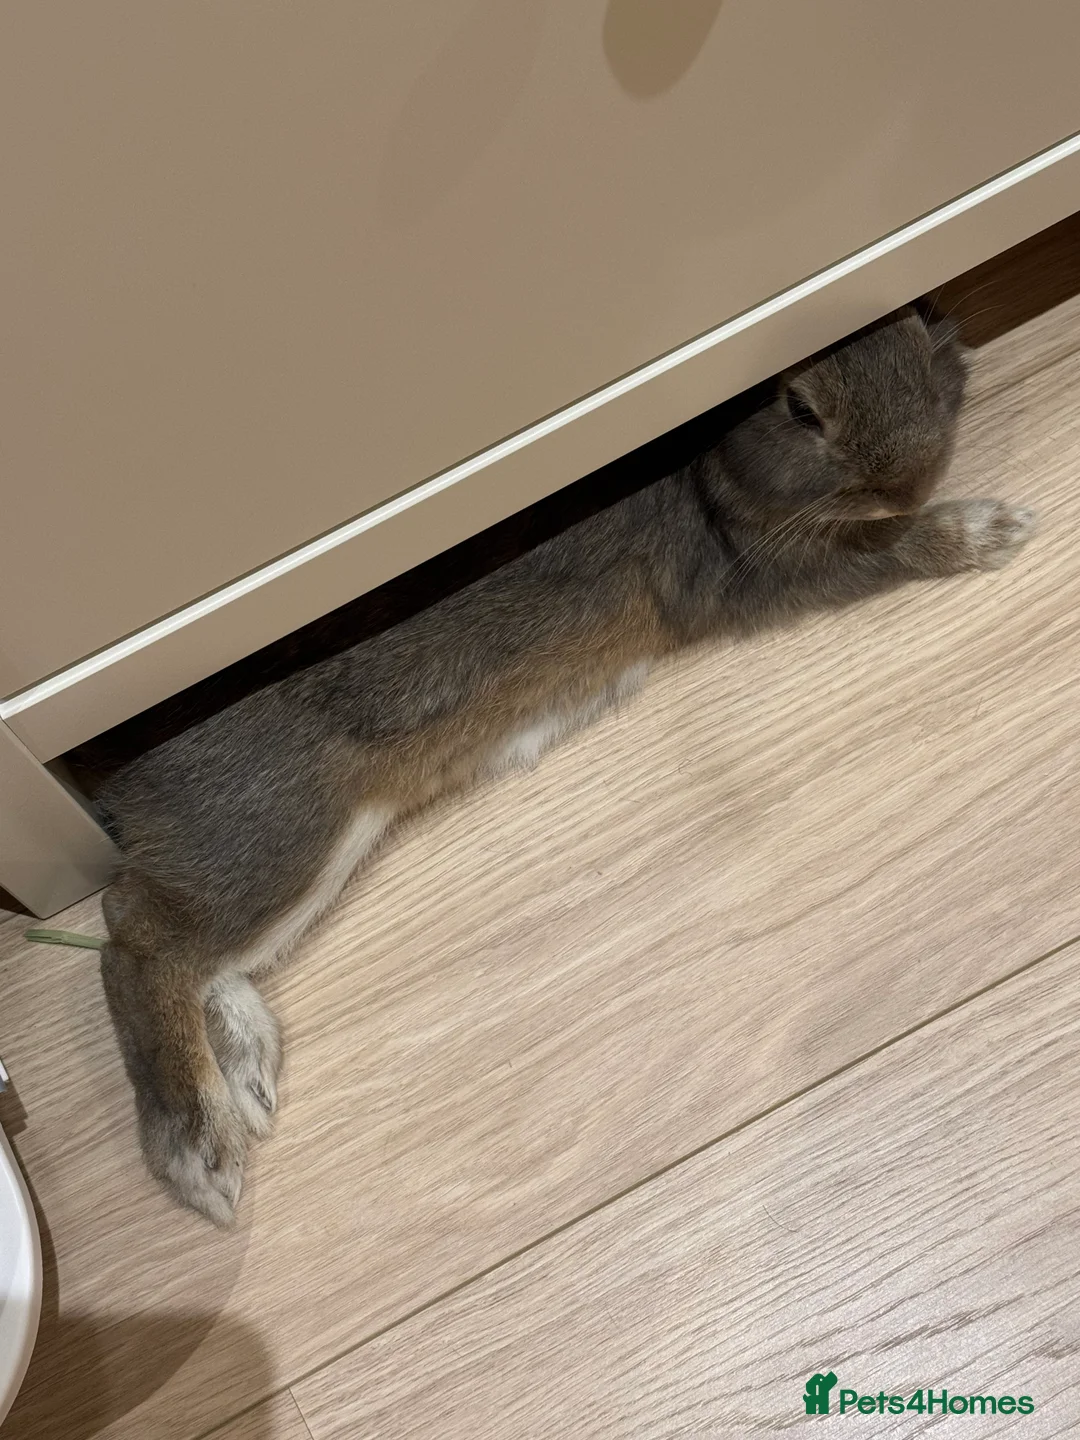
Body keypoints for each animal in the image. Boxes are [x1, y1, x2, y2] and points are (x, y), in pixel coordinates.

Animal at [97, 306, 1035, 1225]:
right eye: (797, 406)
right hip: (290, 828)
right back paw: (204, 1151)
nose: (907, 484)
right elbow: (887, 553)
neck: (697, 467)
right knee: (136, 942)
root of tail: (117, 788)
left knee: (171, 937)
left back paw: (251, 1071)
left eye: (913, 324)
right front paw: (992, 530)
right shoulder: (767, 573)